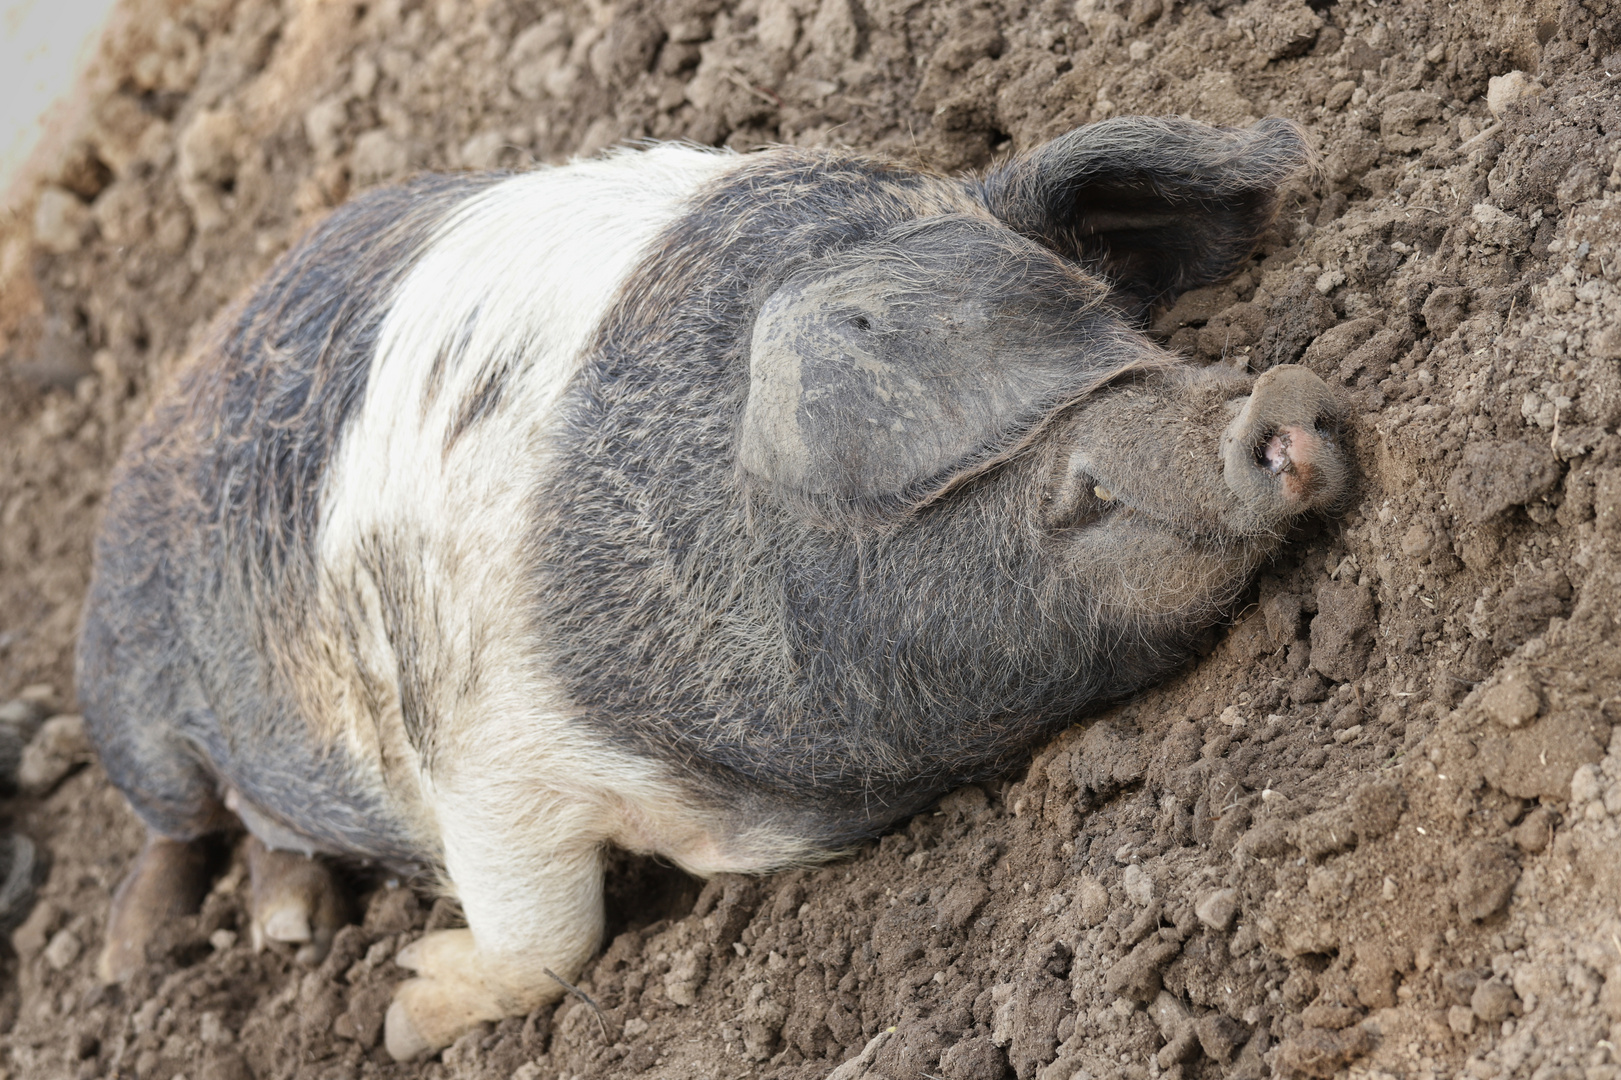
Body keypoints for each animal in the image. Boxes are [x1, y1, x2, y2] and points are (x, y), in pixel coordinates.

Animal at [76, 115, 1348, 1050]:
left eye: (1113, 324)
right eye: (1058, 477)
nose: (1278, 403)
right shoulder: (476, 754)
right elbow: (546, 930)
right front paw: (400, 1009)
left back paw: (288, 923)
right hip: (126, 692)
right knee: (174, 818)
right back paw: (153, 952)